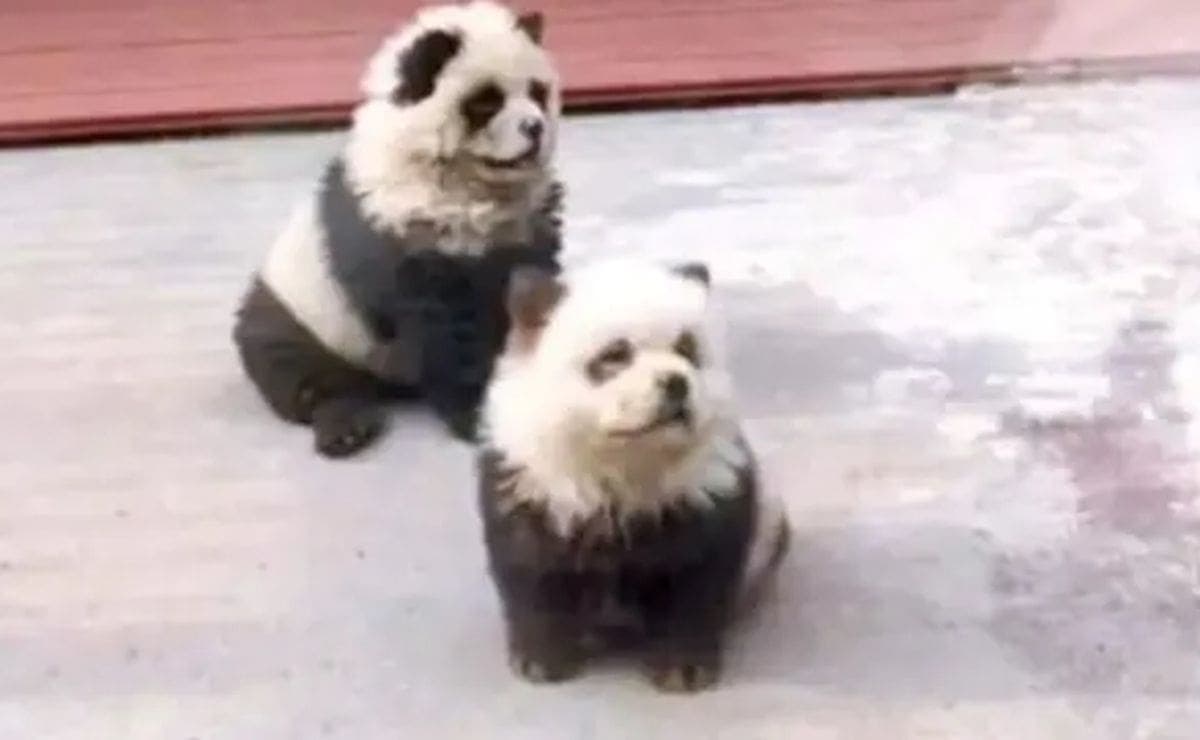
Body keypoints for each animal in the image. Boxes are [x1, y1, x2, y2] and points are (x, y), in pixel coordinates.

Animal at [233, 1, 563, 457]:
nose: (534, 128)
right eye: (486, 102)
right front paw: (476, 413)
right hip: (301, 312)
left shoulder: (529, 228)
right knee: (297, 371)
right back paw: (346, 426)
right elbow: (446, 332)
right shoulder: (405, 229)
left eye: (537, 93)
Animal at [476, 260, 790, 692]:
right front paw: (541, 660)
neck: (627, 464)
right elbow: (533, 574)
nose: (676, 383)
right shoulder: (533, 486)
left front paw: (682, 668)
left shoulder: (706, 496)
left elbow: (694, 582)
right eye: (615, 355)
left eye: (687, 349)